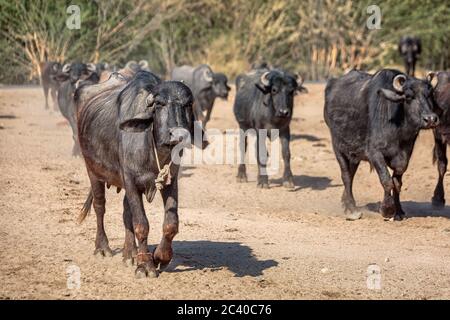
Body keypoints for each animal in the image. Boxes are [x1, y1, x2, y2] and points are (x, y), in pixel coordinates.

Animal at [76, 71, 207, 278]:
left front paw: (160, 257)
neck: (153, 150)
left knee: (126, 212)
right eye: (160, 104)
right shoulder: (130, 181)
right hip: (92, 170)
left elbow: (171, 223)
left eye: (188, 104)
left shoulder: (170, 181)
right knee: (99, 207)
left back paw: (130, 253)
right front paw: (145, 264)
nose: (179, 135)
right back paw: (103, 248)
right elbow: (141, 224)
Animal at [326, 69, 438, 221]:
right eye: (409, 97)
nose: (430, 119)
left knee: (351, 174)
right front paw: (387, 209)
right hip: (338, 148)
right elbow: (386, 179)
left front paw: (399, 211)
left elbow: (397, 182)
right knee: (346, 176)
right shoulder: (374, 153)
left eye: (430, 95)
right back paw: (352, 210)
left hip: (354, 153)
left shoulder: (405, 155)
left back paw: (345, 203)